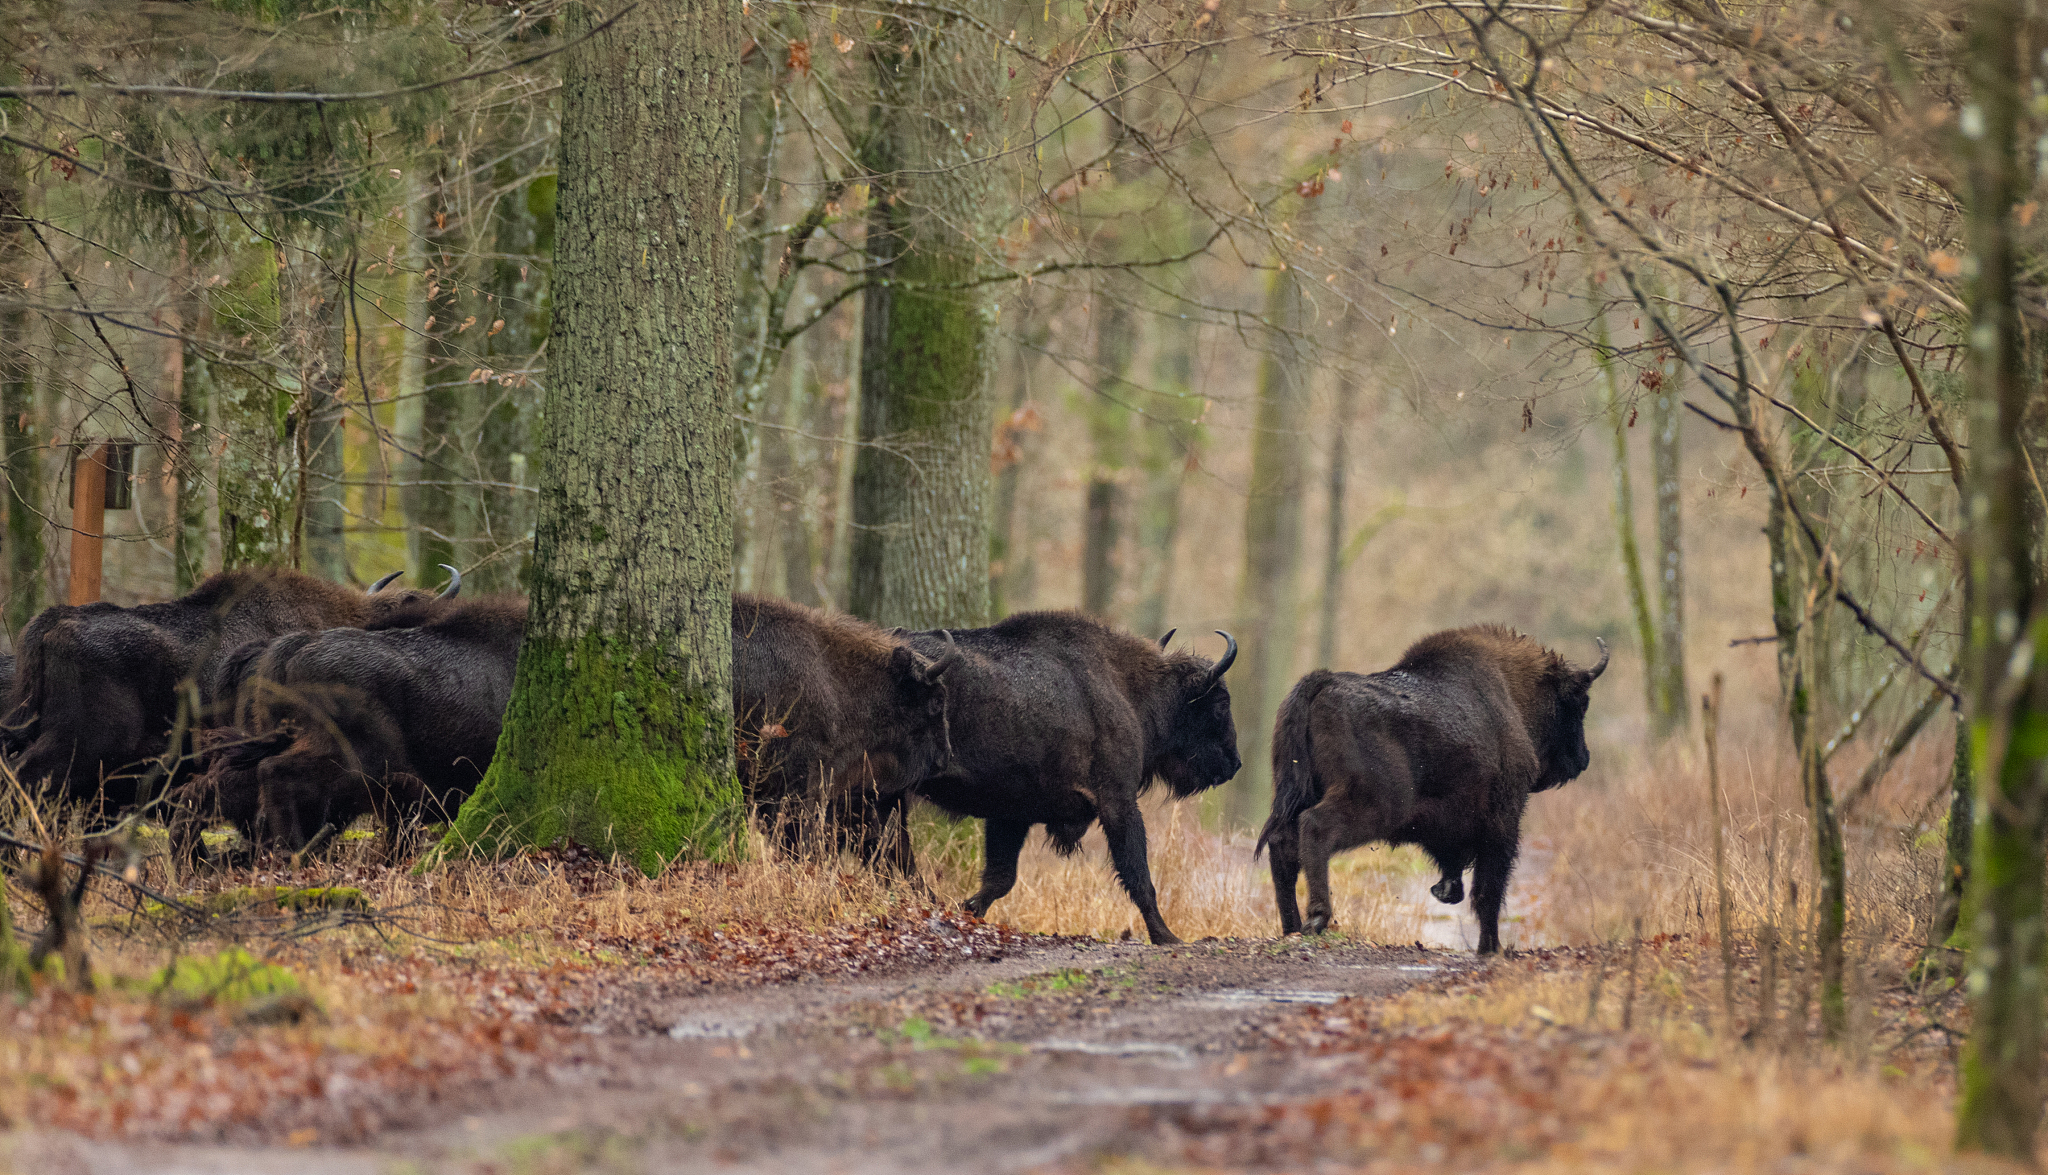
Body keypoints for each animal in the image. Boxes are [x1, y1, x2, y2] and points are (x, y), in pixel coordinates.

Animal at [903, 613, 1239, 945]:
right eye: (1220, 704)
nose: (1235, 764)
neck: (1128, 689)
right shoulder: (1118, 803)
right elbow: (1138, 876)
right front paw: (1166, 936)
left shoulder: (1011, 814)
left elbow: (1001, 877)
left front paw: (969, 911)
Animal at [1258, 624, 1607, 953]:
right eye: (1580, 703)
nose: (1584, 758)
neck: (1511, 693)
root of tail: (1322, 683)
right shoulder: (1503, 819)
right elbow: (1490, 887)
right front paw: (1491, 948)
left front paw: (1447, 894)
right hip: (1374, 804)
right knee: (1314, 827)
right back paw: (1317, 918)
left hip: (1296, 791)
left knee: (1282, 844)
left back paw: (1291, 926)